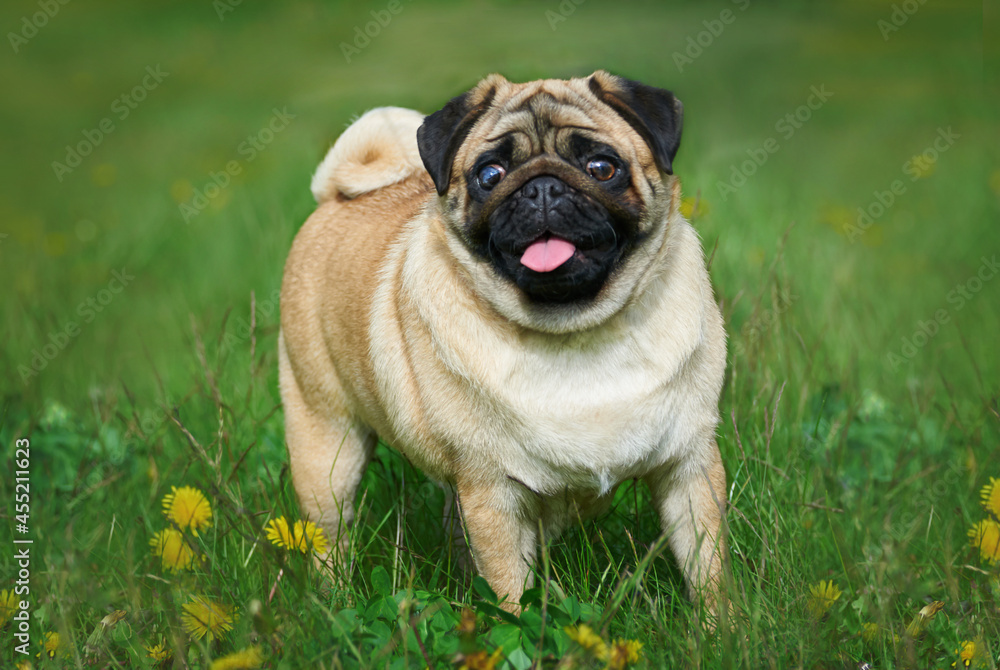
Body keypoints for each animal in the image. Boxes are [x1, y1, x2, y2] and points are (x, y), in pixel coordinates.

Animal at [280, 71, 728, 616]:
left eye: (601, 167)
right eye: (490, 175)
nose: (541, 188)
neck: (576, 333)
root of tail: (334, 197)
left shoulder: (690, 467)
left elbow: (708, 570)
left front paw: (722, 630)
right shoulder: (493, 494)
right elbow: (511, 598)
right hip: (326, 445)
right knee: (330, 535)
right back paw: (334, 601)